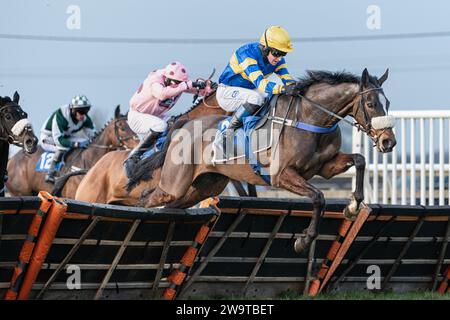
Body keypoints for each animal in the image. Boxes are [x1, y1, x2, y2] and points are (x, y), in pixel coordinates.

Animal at [138, 69, 398, 252]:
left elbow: (360, 160)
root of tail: (183, 124)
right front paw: (304, 240)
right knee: (148, 201)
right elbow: (318, 198)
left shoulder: (326, 167)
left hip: (203, 186)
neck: (310, 118)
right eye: (371, 104)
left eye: (387, 104)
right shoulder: (281, 175)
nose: (389, 141)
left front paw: (353, 207)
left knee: (170, 205)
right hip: (174, 184)